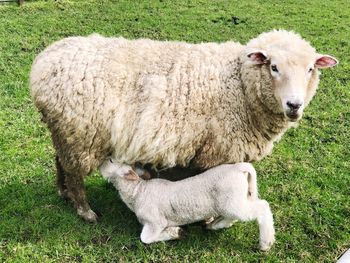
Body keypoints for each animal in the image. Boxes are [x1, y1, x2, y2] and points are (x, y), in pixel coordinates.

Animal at [30, 29, 340, 223]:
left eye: (311, 69)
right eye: (273, 67)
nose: (294, 105)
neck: (239, 84)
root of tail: (41, 64)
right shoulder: (216, 151)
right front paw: (211, 217)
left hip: (64, 132)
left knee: (59, 162)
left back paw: (63, 193)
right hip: (80, 135)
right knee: (74, 173)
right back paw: (85, 211)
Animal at [99, 160, 276, 253]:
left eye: (111, 161)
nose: (101, 160)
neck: (138, 192)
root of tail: (239, 168)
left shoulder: (156, 222)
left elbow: (145, 238)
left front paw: (175, 232)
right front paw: (177, 232)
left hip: (232, 202)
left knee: (262, 207)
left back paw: (265, 244)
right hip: (232, 202)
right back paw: (215, 225)